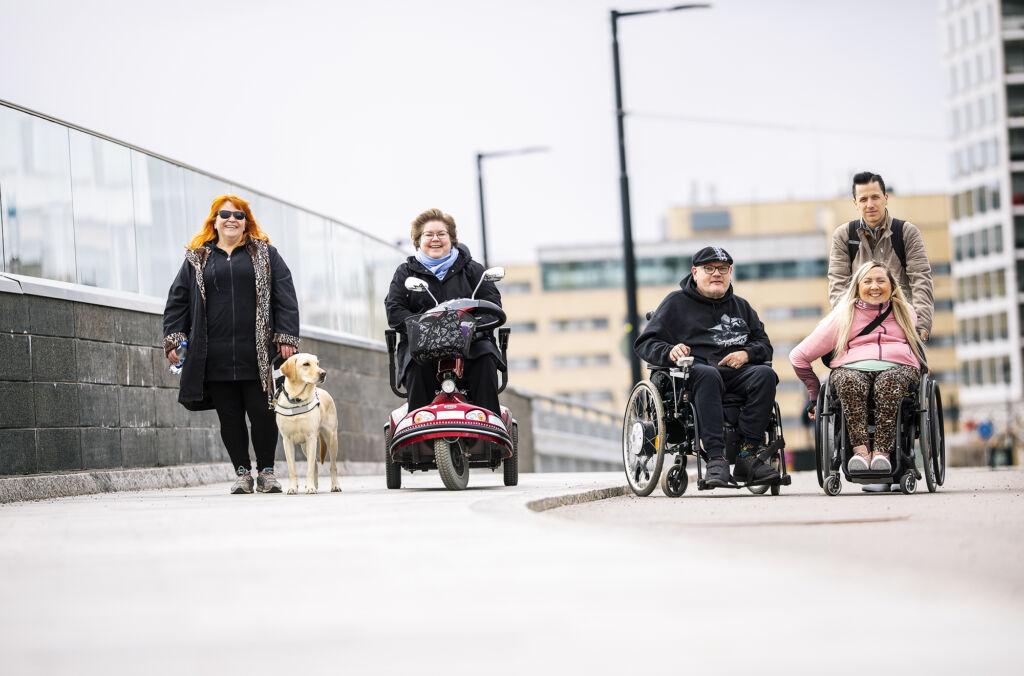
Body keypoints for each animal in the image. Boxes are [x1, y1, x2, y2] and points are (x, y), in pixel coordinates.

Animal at [274, 354, 342, 491]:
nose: (323, 373)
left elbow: (309, 468)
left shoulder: (311, 437)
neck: (297, 399)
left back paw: (335, 485)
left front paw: (310, 488)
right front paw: (293, 488)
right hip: (305, 446)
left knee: (332, 466)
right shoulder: (287, 440)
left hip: (331, 439)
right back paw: (314, 485)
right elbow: (292, 469)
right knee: (315, 463)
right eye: (306, 364)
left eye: (317, 363)